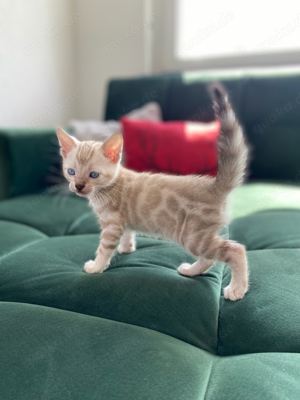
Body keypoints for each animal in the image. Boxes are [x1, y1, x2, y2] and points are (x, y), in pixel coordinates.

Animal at [56, 83, 248, 300]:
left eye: (93, 175)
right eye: (71, 172)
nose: (78, 186)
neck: (108, 187)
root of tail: (214, 184)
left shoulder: (111, 224)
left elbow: (104, 248)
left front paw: (96, 266)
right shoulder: (123, 221)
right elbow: (128, 232)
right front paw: (126, 247)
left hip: (193, 236)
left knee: (236, 250)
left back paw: (237, 288)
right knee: (208, 259)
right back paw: (190, 271)